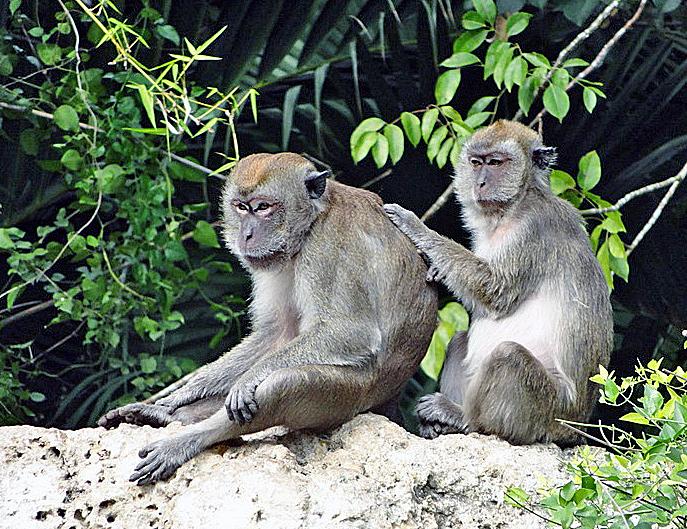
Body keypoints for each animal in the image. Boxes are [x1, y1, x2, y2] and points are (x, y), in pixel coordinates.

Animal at [98, 152, 438, 485]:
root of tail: (389, 401)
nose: (246, 234)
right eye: (241, 207)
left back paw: (186, 440)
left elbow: (351, 332)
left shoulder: (327, 248)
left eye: (263, 208)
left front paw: (249, 379)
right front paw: (176, 398)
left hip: (351, 398)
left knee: (283, 383)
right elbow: (277, 334)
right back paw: (166, 417)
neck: (313, 221)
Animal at [384, 120, 613, 445]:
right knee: (460, 341)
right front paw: (438, 270)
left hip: (549, 413)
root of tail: (577, 426)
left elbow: (496, 291)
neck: (515, 204)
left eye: (495, 163)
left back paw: (463, 419)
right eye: (476, 162)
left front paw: (416, 227)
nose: (479, 183)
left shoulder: (533, 230)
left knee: (509, 356)